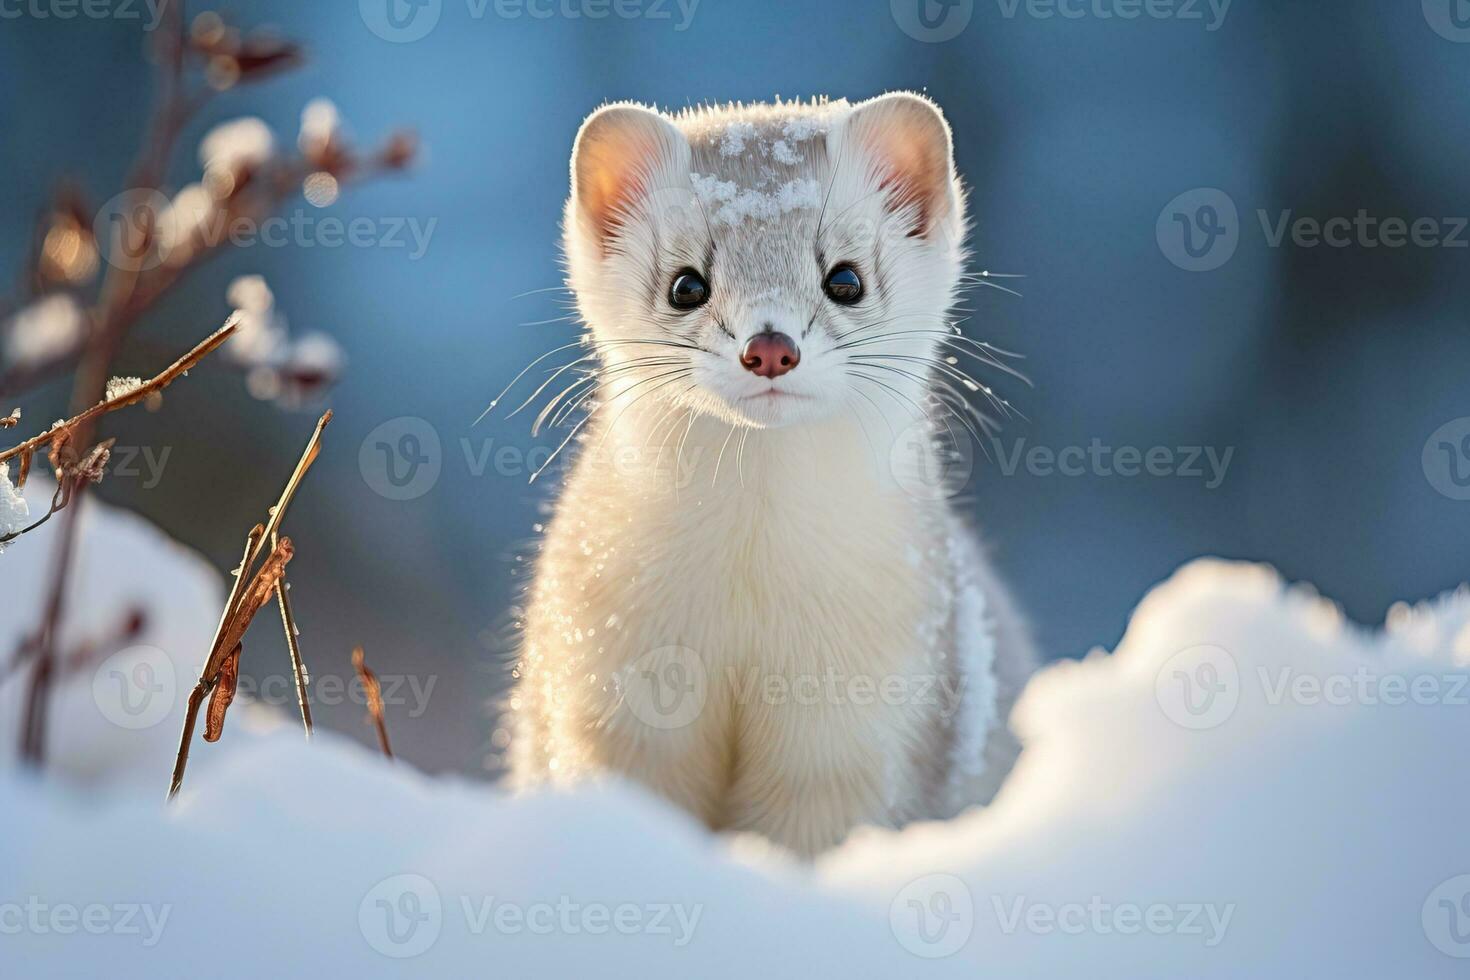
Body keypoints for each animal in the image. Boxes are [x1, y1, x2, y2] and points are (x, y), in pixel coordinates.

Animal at [505, 94, 1034, 858]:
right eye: (686, 284)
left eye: (845, 278)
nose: (771, 346)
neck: (748, 597)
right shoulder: (599, 676)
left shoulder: (870, 711)